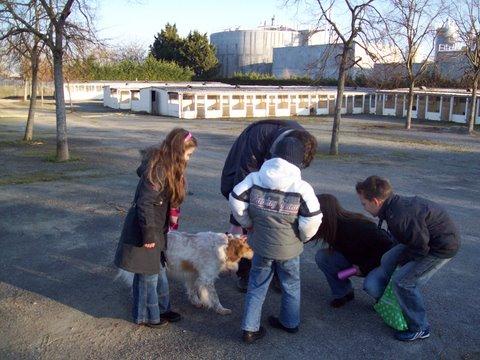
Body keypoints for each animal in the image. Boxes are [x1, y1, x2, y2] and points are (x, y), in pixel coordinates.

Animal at [117, 232, 251, 314]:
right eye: (249, 247)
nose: (254, 254)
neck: (223, 246)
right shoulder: (207, 279)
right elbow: (214, 298)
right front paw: (221, 309)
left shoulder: (193, 275)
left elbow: (192, 291)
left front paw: (196, 302)